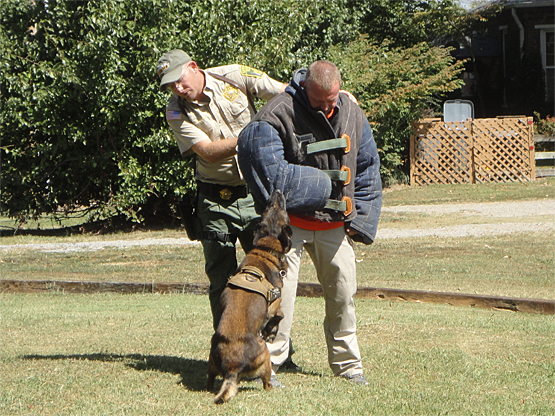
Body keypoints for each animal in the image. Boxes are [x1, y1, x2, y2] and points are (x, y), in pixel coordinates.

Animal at [207, 191, 294, 404]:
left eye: (269, 207)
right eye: (284, 211)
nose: (277, 191)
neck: (264, 251)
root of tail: (232, 368)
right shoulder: (275, 305)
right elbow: (279, 317)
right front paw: (271, 331)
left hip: (212, 359)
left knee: (209, 379)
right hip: (265, 357)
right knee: (267, 382)